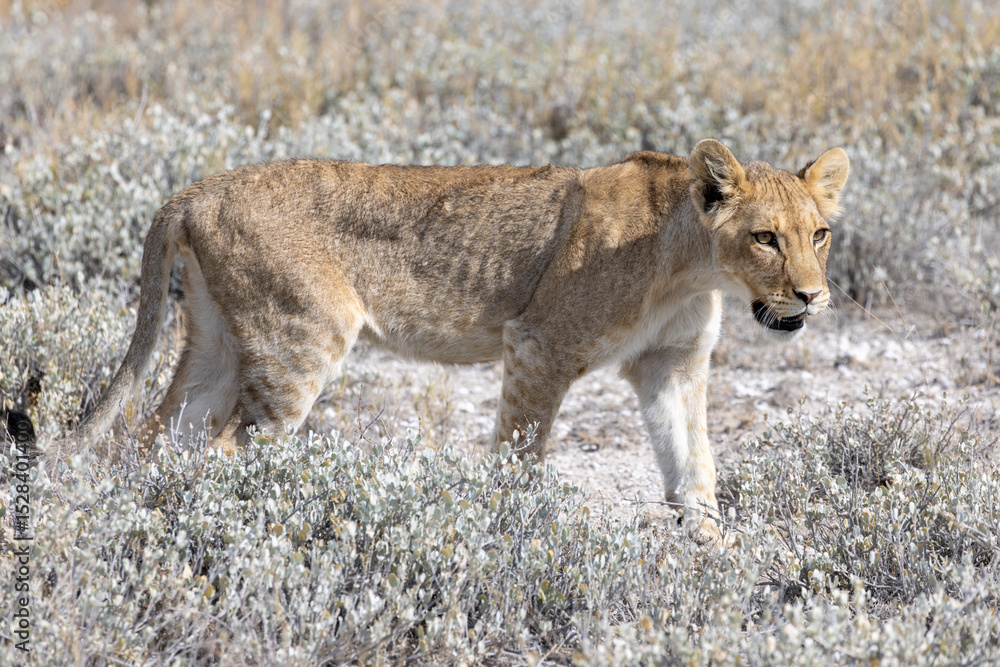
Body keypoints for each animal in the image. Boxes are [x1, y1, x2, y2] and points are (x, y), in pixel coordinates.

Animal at [62, 139, 849, 543]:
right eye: (765, 238)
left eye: (819, 234)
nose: (813, 296)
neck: (692, 266)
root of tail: (197, 189)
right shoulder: (538, 344)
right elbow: (519, 458)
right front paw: (511, 535)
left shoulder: (672, 366)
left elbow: (695, 469)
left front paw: (714, 559)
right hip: (299, 343)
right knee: (227, 448)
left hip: (220, 343)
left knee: (157, 436)